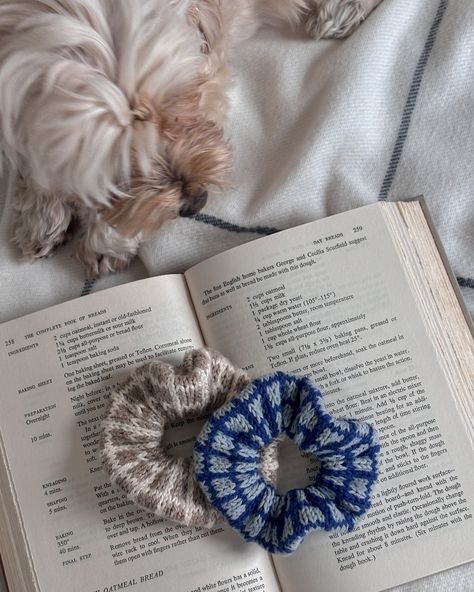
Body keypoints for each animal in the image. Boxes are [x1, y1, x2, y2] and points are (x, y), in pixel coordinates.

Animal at [0, 0, 382, 278]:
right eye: (111, 158)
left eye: (182, 98)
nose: (194, 203)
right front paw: (41, 213)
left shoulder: (210, 74)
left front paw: (107, 238)